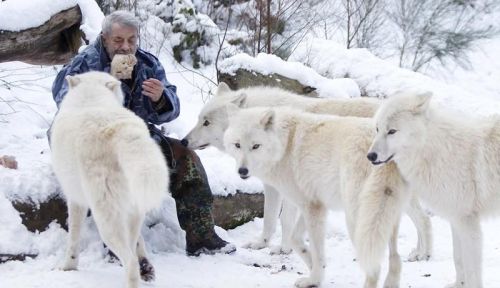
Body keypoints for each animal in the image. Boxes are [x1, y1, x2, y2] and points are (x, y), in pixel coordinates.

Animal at [50, 70, 168, 288]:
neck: (91, 98)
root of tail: (120, 130)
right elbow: (139, 241)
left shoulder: (76, 200)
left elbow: (73, 237)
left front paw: (68, 267)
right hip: (132, 212)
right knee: (132, 248)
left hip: (105, 221)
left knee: (130, 262)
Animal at [184, 82, 434, 260]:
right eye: (199, 119)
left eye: (206, 122)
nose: (184, 141)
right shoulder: (274, 187)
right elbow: (270, 219)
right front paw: (262, 244)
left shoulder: (292, 188)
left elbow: (284, 220)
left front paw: (284, 248)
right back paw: (418, 252)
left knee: (424, 219)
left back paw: (423, 254)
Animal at [223, 106, 410, 288]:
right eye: (237, 145)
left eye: (256, 146)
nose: (242, 171)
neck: (285, 144)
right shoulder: (311, 204)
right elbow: (294, 238)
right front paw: (312, 265)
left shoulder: (313, 208)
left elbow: (315, 250)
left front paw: (314, 279)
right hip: (386, 219)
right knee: (395, 259)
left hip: (358, 221)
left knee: (374, 268)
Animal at [368, 93, 500, 288]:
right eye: (377, 129)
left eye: (392, 131)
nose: (370, 156)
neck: (434, 150)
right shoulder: (455, 219)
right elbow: (458, 258)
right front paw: (458, 284)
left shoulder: (468, 223)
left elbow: (472, 271)